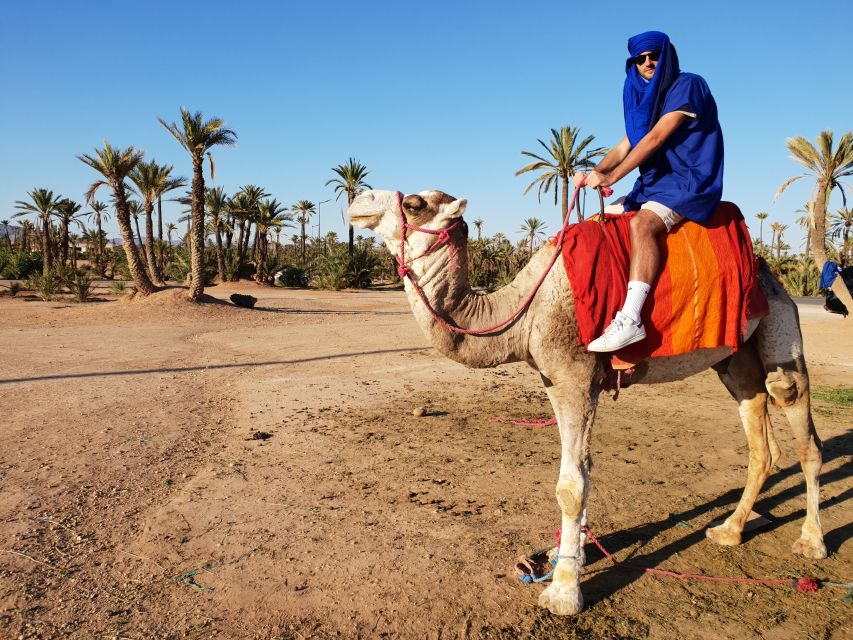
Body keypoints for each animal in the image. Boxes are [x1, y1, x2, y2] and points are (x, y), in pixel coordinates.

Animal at [348, 189, 824, 616]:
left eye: (414, 204)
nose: (358, 200)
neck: (522, 313)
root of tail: (771, 273)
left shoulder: (574, 376)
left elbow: (571, 485)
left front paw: (563, 593)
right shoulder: (556, 379)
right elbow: (584, 471)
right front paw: (567, 555)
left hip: (782, 330)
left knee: (799, 420)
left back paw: (811, 540)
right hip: (735, 357)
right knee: (762, 439)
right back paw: (730, 529)